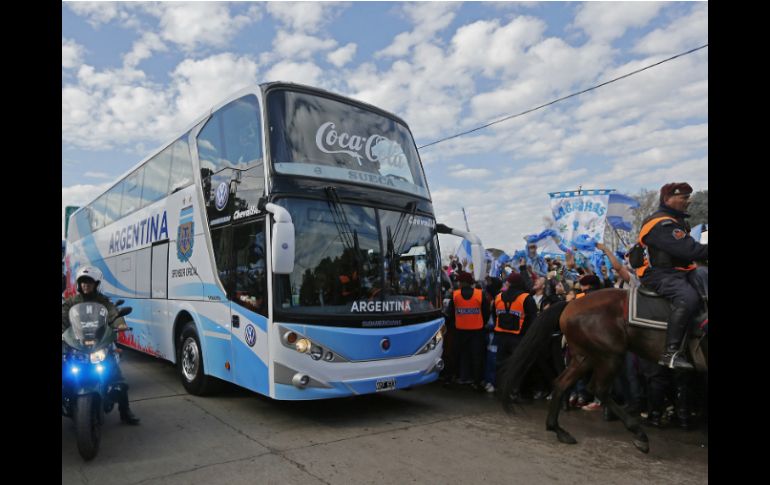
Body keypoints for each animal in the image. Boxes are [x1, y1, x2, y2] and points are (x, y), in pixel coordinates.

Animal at [498, 288, 708, 450]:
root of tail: (570, 304)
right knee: (598, 389)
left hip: (586, 357)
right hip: (610, 356)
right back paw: (639, 434)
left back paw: (558, 429)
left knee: (563, 383)